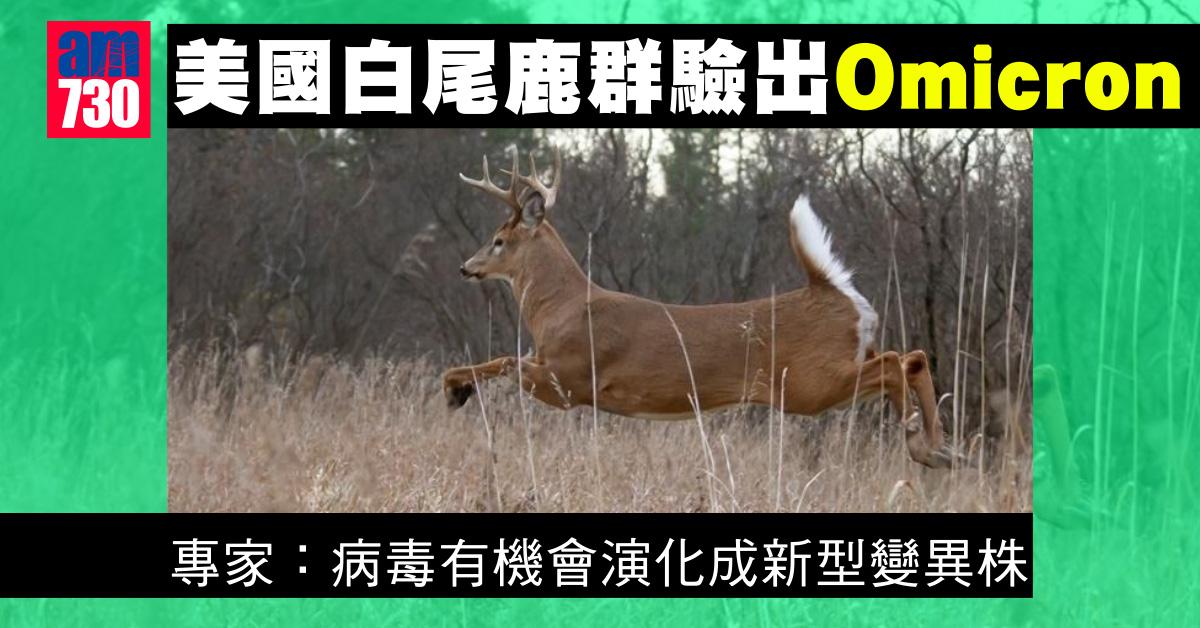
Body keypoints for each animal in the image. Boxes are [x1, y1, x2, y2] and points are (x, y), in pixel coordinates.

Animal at [441, 148, 958, 468]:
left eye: (498, 239)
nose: (466, 267)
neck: (560, 309)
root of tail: (833, 293)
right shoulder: (554, 371)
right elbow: (503, 360)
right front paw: (456, 388)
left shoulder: (569, 381)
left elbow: (504, 360)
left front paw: (454, 389)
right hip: (837, 364)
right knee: (911, 357)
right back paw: (938, 448)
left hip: (806, 382)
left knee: (897, 362)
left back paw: (921, 440)